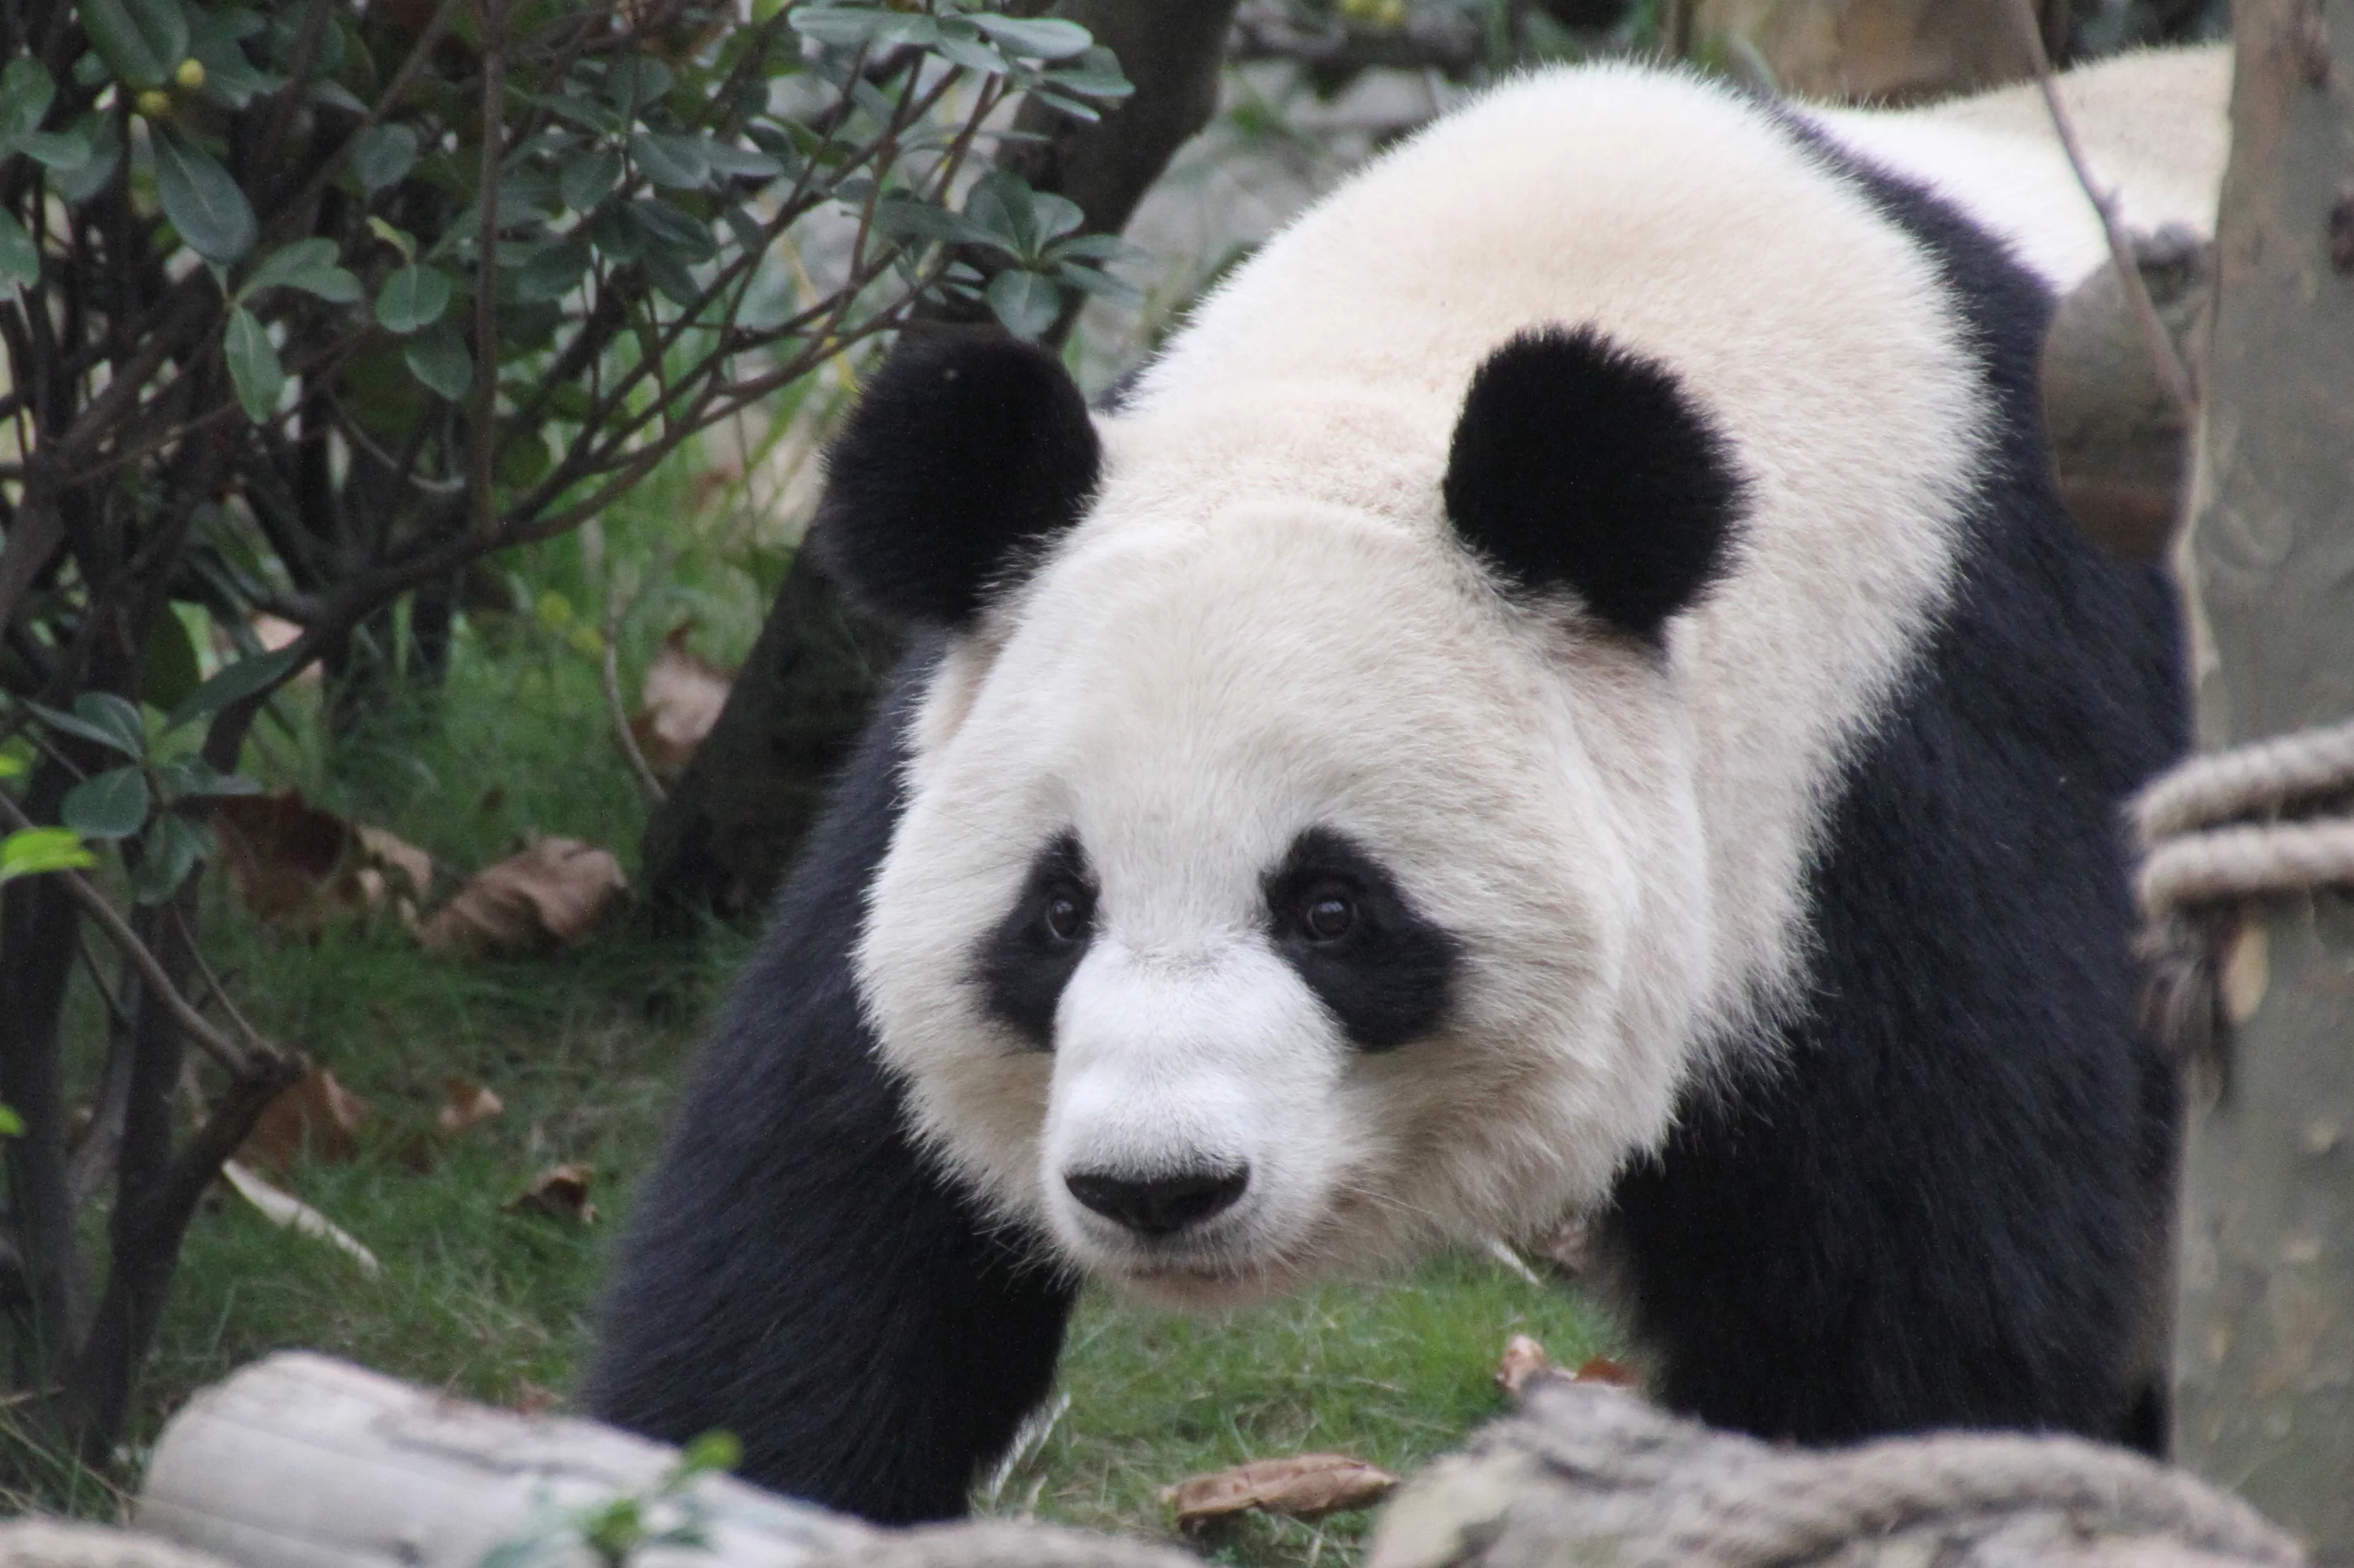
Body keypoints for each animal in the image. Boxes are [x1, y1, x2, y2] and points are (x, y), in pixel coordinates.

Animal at [588, 52, 2218, 1524]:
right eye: (1055, 911)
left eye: (1330, 908)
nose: (1156, 1186)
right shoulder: (947, 735)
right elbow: (821, 1225)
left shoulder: (1912, 765)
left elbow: (1909, 1318)